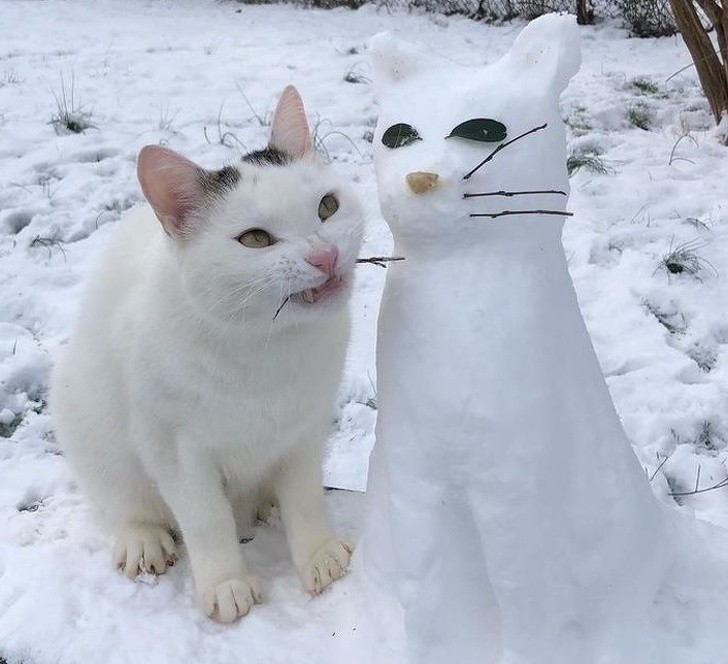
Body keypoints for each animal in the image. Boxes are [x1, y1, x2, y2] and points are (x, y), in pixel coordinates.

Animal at [51, 87, 364, 624]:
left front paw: (318, 553)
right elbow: (205, 518)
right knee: (123, 500)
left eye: (327, 206)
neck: (268, 348)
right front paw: (225, 582)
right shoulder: (174, 448)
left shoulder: (305, 429)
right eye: (255, 239)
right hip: (81, 411)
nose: (324, 257)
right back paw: (143, 538)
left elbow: (304, 495)